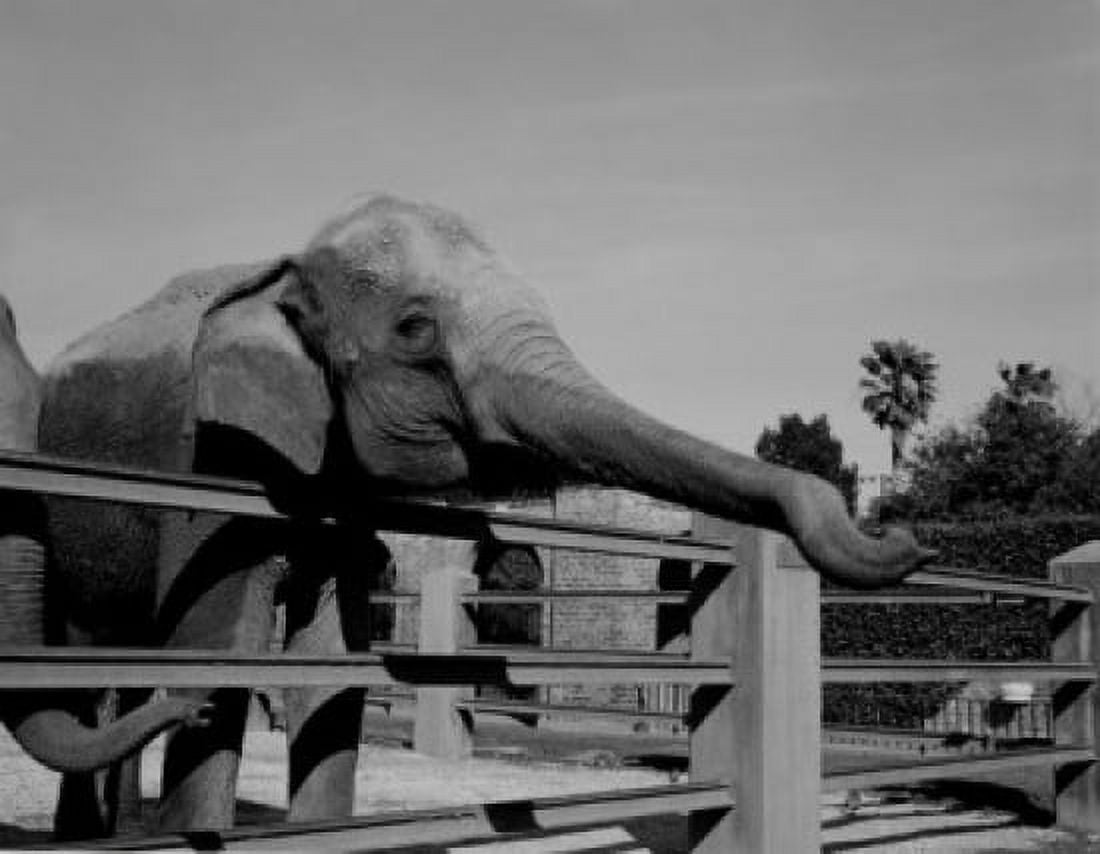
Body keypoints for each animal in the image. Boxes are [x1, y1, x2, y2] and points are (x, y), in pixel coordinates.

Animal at [39, 193, 933, 836]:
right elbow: (216, 660)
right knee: (87, 664)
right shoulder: (214, 461)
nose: (902, 532)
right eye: (414, 328)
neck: (285, 269)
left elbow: (331, 672)